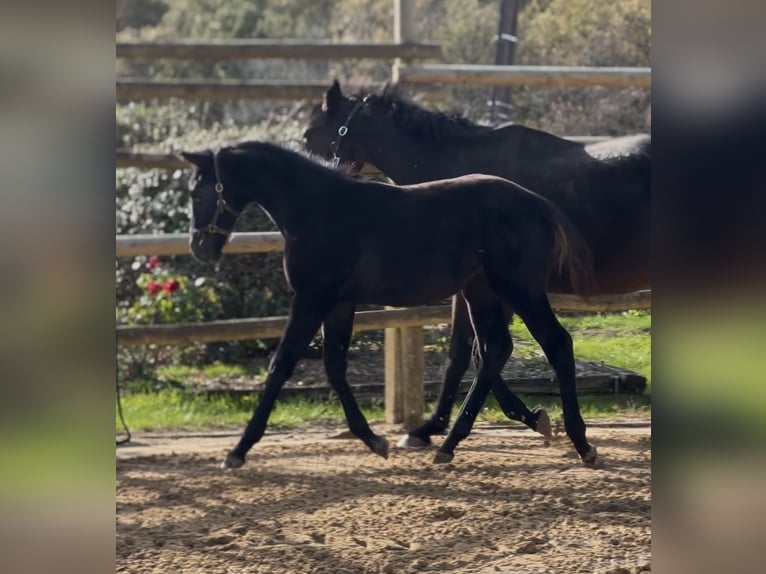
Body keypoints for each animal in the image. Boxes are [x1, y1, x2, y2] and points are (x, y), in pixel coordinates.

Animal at [179, 140, 600, 469]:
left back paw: (582, 443)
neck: (318, 208)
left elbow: (281, 365)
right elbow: (334, 367)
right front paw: (374, 440)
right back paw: (451, 443)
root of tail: (539, 204)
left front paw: (238, 451)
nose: (199, 248)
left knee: (555, 344)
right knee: (495, 349)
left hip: (520, 291)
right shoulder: (338, 304)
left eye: (197, 193)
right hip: (481, 293)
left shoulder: (312, 299)